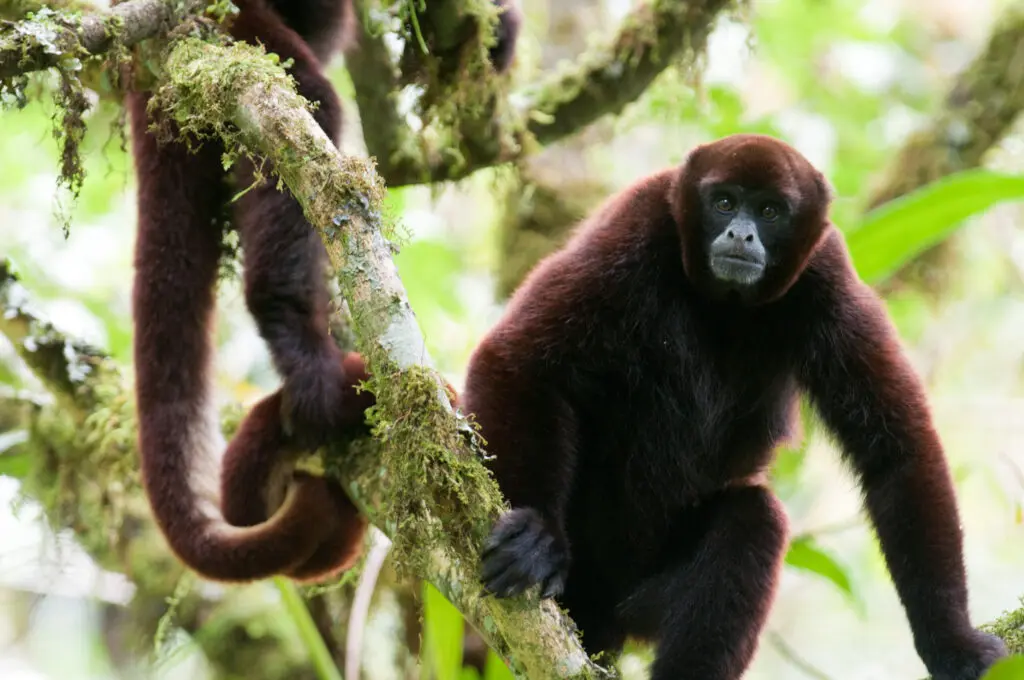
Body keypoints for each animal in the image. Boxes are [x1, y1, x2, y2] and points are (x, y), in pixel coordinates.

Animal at [464, 134, 1008, 679]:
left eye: (769, 211)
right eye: (724, 202)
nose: (741, 234)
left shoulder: (826, 276)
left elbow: (897, 452)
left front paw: (952, 644)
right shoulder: (634, 226)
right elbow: (520, 361)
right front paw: (538, 534)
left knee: (752, 519)